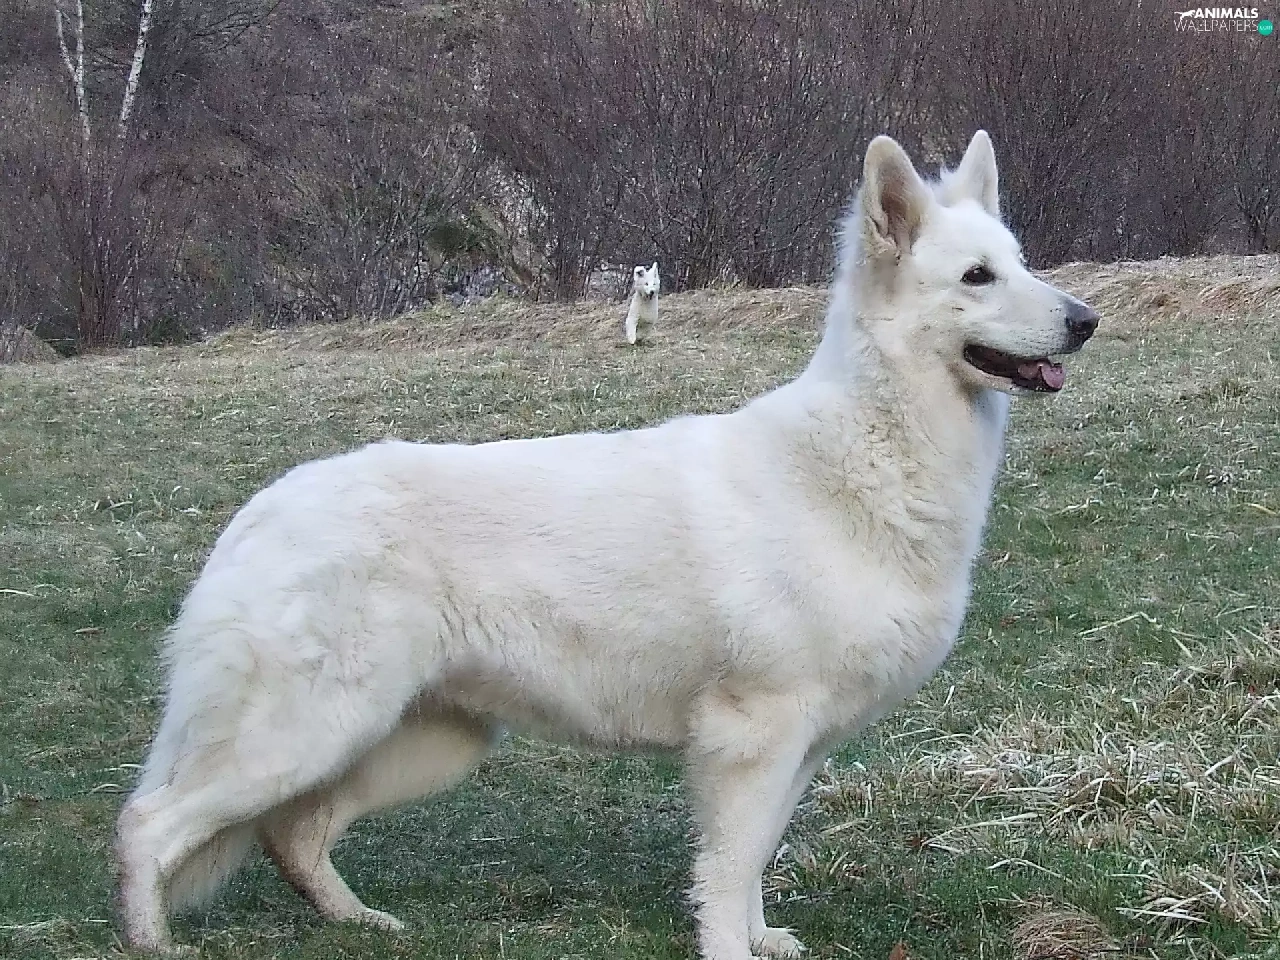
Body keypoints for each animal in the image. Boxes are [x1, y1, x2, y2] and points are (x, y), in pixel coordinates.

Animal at [115, 131, 1098, 959]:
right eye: (977, 276)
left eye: (1020, 264)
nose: (1087, 320)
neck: (865, 457)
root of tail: (262, 507)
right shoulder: (752, 735)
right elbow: (729, 868)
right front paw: (730, 950)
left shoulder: (797, 749)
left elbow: (756, 859)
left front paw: (762, 940)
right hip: (306, 732)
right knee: (149, 823)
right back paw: (153, 942)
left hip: (413, 742)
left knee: (294, 831)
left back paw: (360, 923)